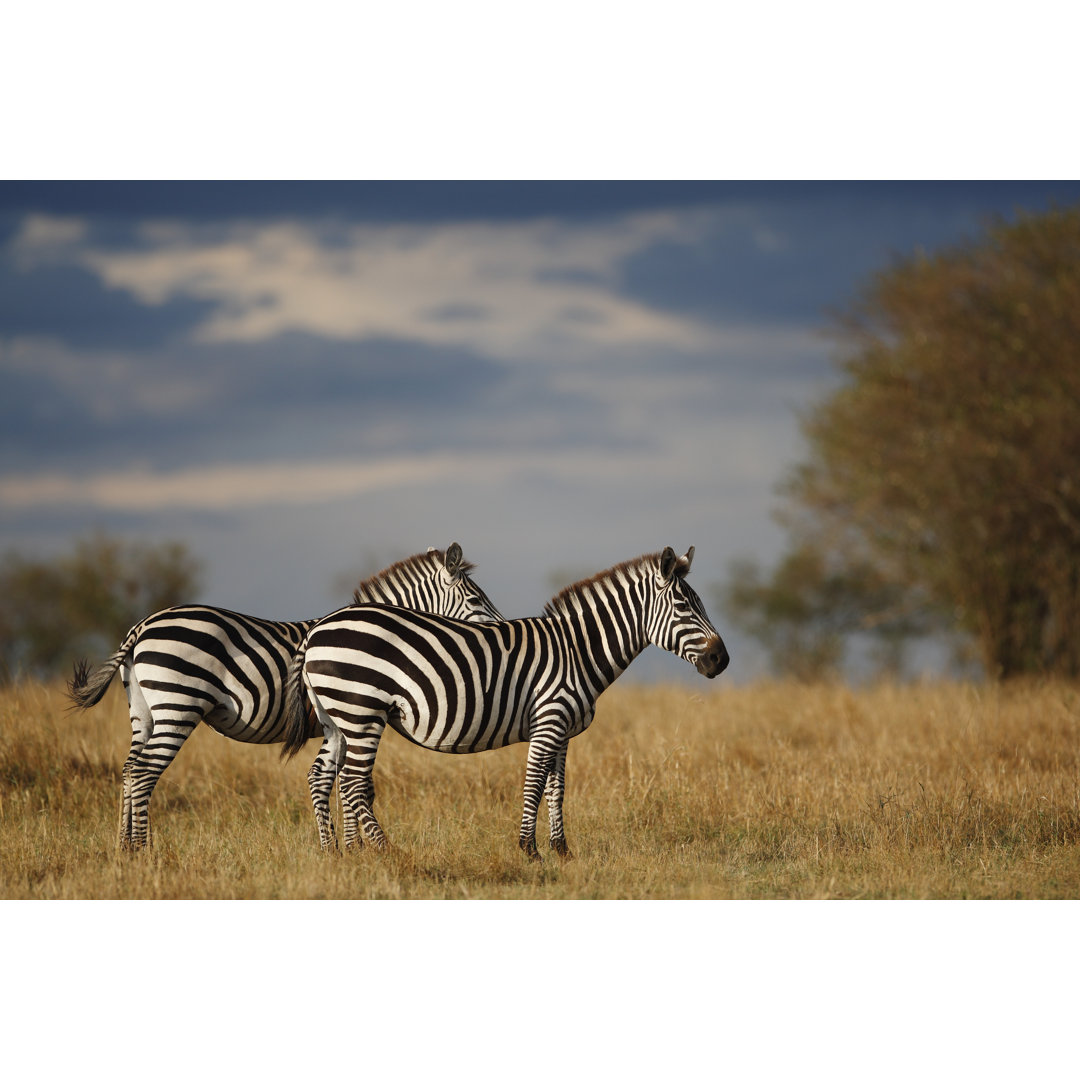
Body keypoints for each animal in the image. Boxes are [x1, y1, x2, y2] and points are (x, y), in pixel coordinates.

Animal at [67, 544, 501, 846]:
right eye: (476, 600)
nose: (501, 629)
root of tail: (142, 625)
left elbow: (339, 784)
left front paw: (347, 849)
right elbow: (353, 785)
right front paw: (352, 848)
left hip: (144, 711)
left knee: (129, 770)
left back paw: (123, 849)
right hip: (178, 704)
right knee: (144, 772)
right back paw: (144, 851)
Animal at [282, 548, 730, 859]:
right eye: (683, 606)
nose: (721, 660)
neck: (577, 651)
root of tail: (319, 627)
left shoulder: (563, 732)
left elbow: (557, 787)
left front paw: (562, 851)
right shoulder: (548, 720)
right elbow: (533, 783)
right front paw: (529, 851)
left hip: (337, 719)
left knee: (325, 777)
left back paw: (340, 853)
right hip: (362, 711)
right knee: (354, 783)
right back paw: (390, 853)